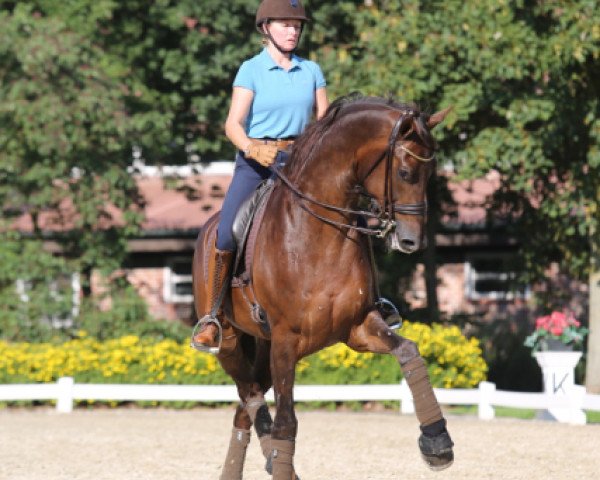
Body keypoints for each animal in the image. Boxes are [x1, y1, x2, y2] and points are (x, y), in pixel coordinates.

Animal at [195, 94, 452, 480]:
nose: (411, 241)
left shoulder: (359, 327)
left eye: (431, 174)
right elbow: (286, 423)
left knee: (246, 406)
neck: (319, 236)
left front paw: (437, 442)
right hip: (230, 340)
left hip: (266, 348)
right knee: (250, 394)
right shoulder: (286, 340)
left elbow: (409, 351)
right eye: (405, 173)